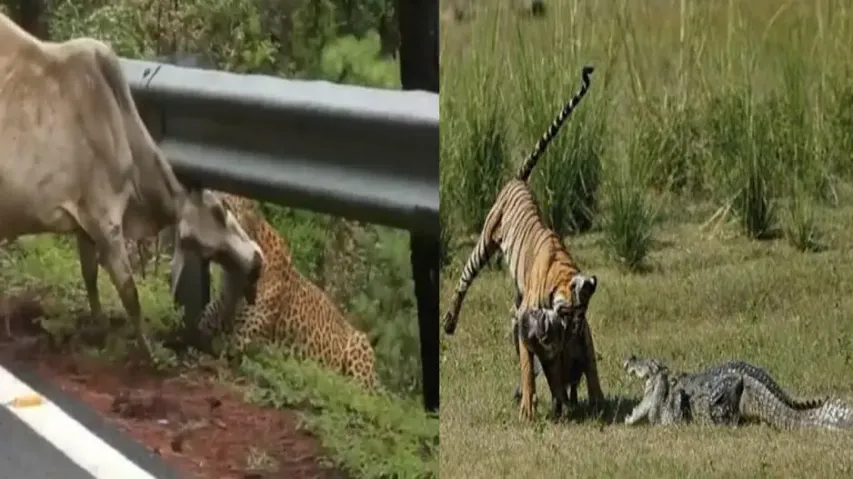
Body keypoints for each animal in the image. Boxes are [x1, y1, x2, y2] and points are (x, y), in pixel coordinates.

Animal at [441, 65, 603, 421]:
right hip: (485, 242)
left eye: (581, 314)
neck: (562, 273)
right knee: (463, 280)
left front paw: (594, 400)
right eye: (567, 313)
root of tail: (518, 179)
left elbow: (586, 366)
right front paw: (530, 406)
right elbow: (530, 369)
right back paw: (449, 321)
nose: (570, 332)